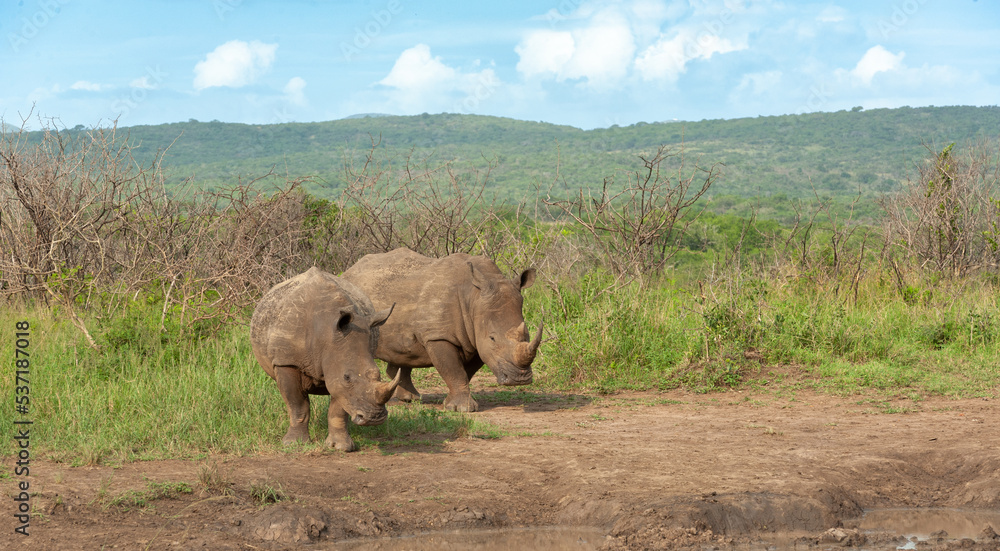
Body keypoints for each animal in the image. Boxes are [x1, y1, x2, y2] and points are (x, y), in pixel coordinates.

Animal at [250, 267, 401, 451]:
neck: (326, 335)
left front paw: (341, 447)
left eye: (378, 375)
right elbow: (297, 404)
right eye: (347, 377)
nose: (374, 419)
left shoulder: (338, 365)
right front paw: (294, 444)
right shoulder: (286, 362)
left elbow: (338, 408)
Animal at [342, 248, 542, 412]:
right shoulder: (438, 336)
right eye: (493, 338)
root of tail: (349, 271)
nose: (520, 379)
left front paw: (451, 403)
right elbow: (455, 371)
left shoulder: (476, 338)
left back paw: (410, 399)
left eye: (527, 334)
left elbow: (464, 372)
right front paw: (463, 409)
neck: (473, 297)